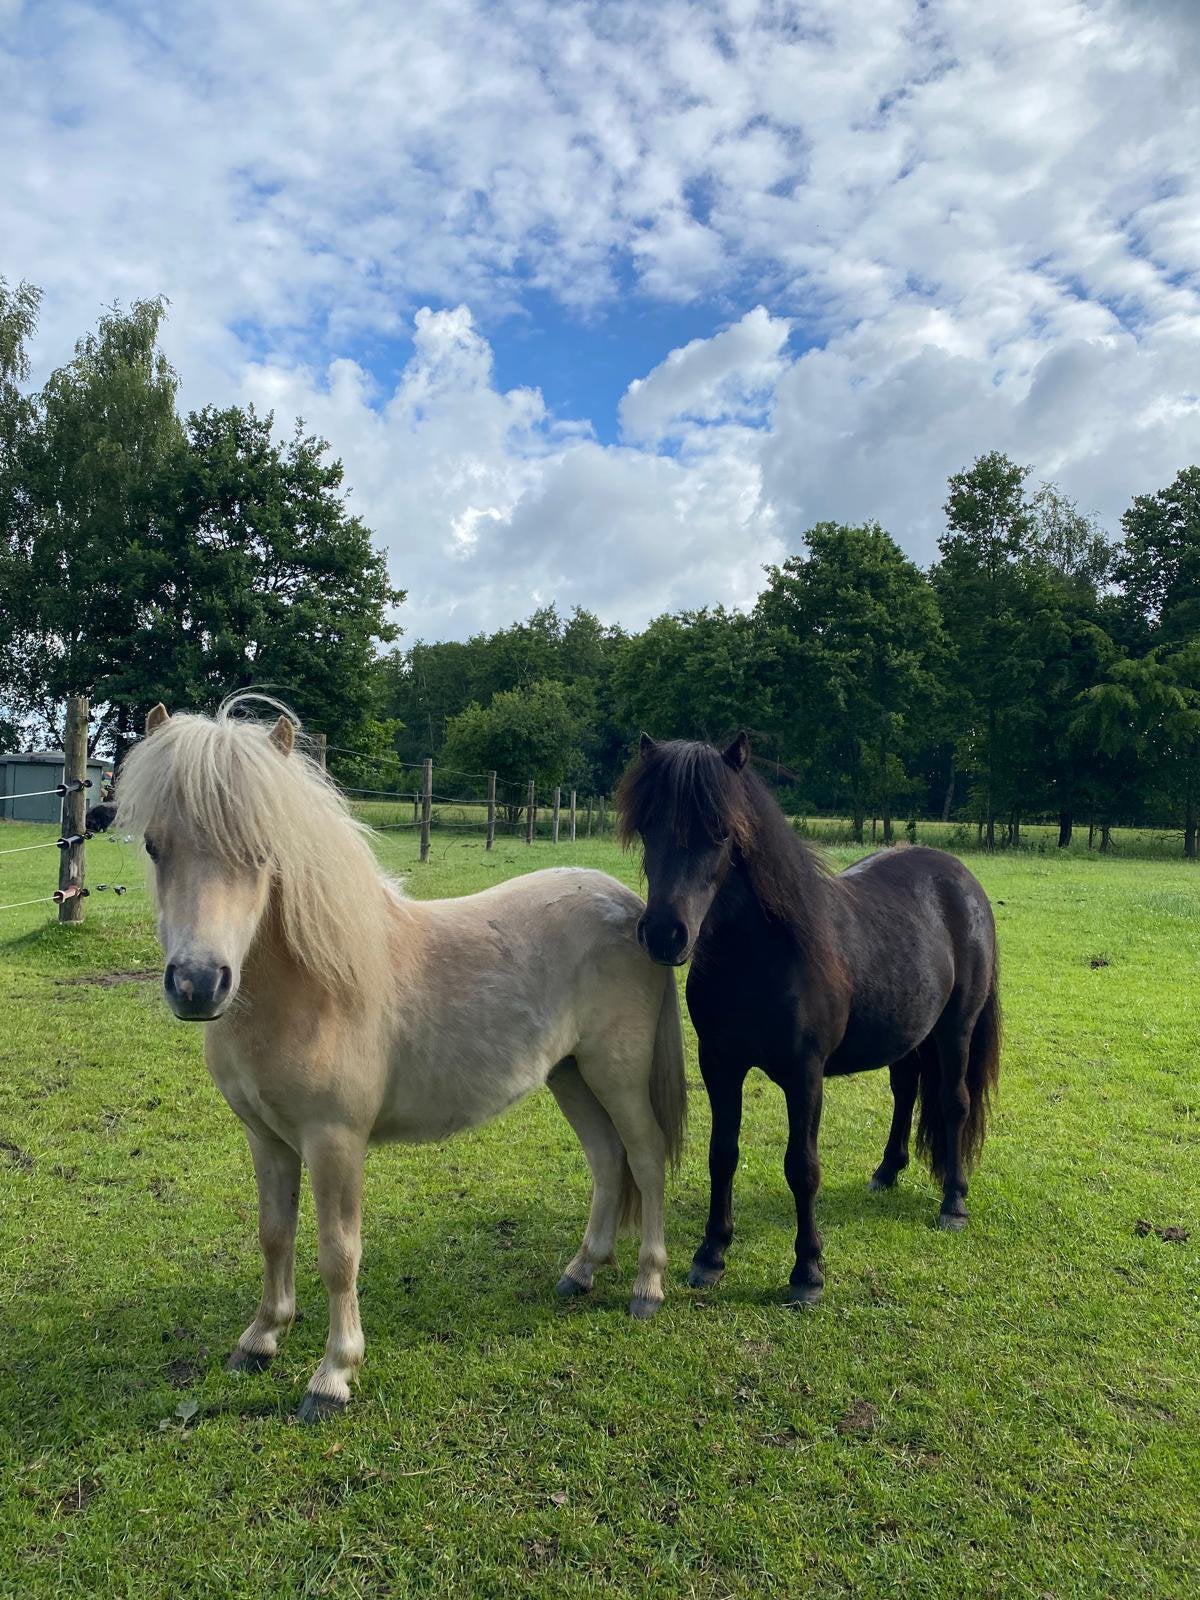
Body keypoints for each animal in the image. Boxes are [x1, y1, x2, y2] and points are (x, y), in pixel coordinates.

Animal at [117, 697, 686, 1421]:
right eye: (154, 845)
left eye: (262, 852)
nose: (196, 985)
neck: (310, 988)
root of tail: (636, 910)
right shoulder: (265, 1139)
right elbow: (275, 1234)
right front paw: (262, 1337)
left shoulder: (333, 1142)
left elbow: (338, 1254)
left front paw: (333, 1375)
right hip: (571, 1077)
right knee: (609, 1162)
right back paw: (580, 1272)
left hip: (617, 1075)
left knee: (646, 1158)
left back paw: (647, 1288)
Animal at [617, 732, 1000, 1307]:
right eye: (646, 826)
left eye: (723, 831)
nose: (665, 934)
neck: (765, 954)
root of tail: (962, 879)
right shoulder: (720, 1066)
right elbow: (722, 1154)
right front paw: (711, 1254)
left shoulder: (804, 1075)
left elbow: (802, 1167)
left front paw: (807, 1271)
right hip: (909, 1033)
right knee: (906, 1089)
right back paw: (886, 1171)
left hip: (956, 1030)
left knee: (954, 1103)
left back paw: (953, 1202)